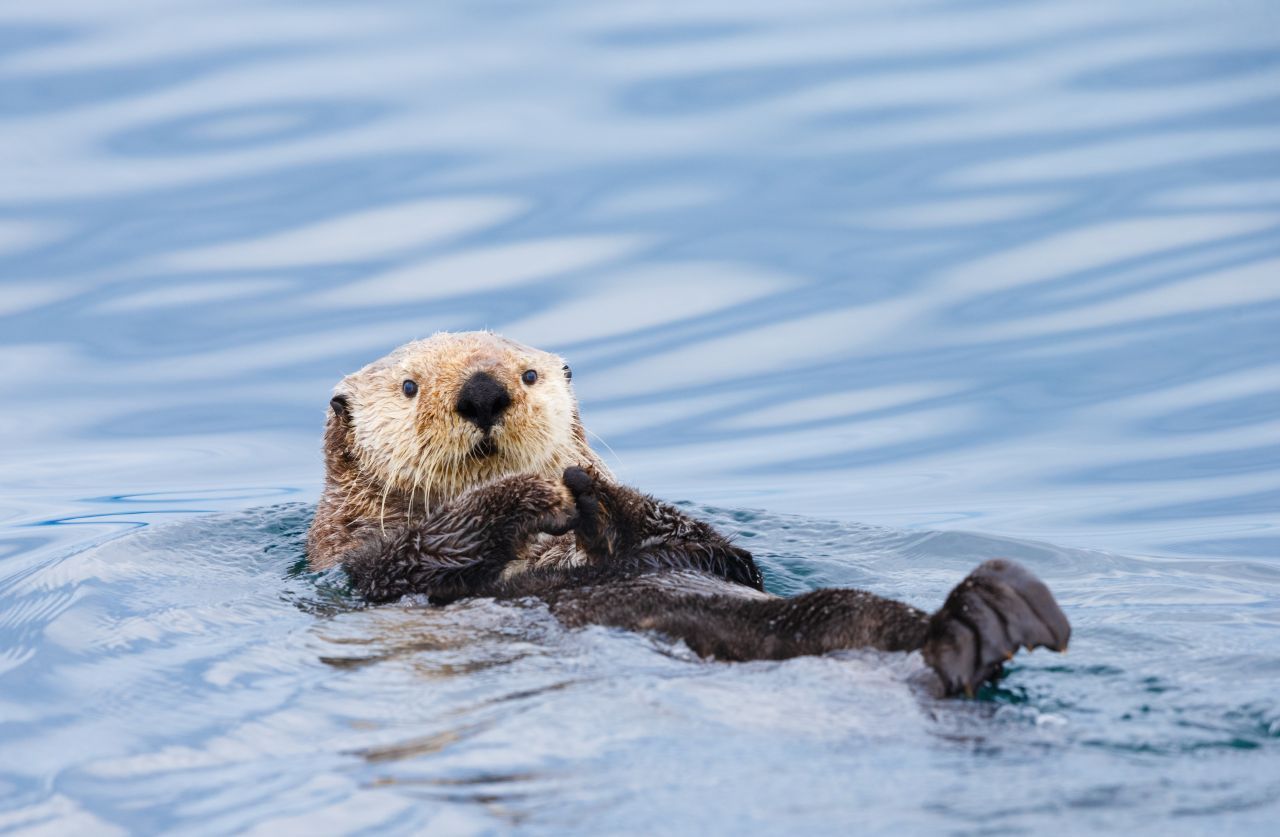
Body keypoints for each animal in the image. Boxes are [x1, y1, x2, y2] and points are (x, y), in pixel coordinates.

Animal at [309, 330, 1070, 696]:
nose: (483, 390)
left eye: (528, 374)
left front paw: (591, 492)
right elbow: (422, 555)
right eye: (410, 387)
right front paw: (534, 495)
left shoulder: (711, 554)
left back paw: (994, 612)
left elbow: (715, 550)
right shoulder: (362, 566)